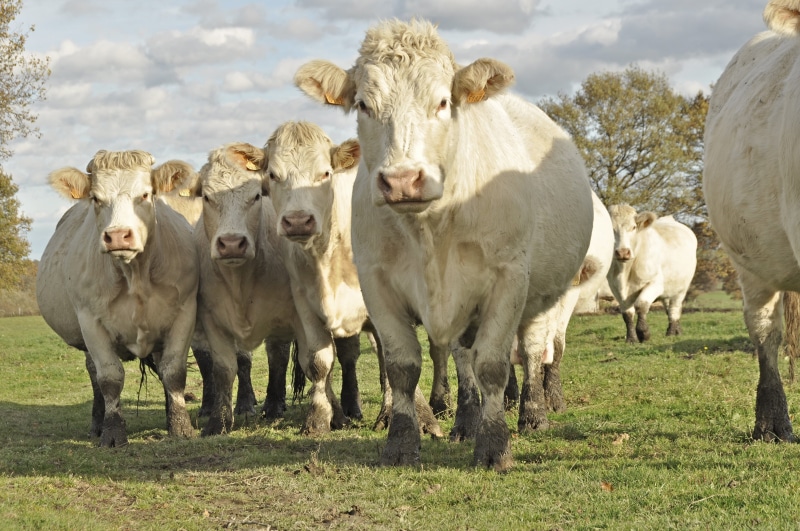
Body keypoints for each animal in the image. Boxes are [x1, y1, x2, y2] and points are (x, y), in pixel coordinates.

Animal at [36, 150, 198, 447]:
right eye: (96, 198)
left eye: (145, 194)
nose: (118, 236)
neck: (135, 276)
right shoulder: (90, 322)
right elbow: (110, 378)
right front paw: (112, 432)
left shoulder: (185, 312)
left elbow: (173, 371)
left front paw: (180, 426)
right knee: (94, 374)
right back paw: (97, 424)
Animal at [194, 142, 349, 436]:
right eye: (207, 197)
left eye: (255, 197)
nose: (231, 244)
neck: (240, 281)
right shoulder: (212, 321)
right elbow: (224, 369)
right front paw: (218, 422)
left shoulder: (298, 317)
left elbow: (313, 362)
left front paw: (331, 414)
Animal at [263, 120, 444, 435]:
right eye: (273, 174)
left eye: (325, 173)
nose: (298, 221)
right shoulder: (304, 306)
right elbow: (318, 362)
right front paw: (319, 419)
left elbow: (395, 358)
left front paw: (419, 417)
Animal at [295, 19, 595, 470]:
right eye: (364, 105)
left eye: (442, 102)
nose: (402, 180)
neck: (430, 231)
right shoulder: (377, 284)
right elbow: (402, 367)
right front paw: (402, 442)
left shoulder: (508, 280)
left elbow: (493, 366)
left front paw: (494, 446)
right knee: (463, 355)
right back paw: (466, 422)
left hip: (542, 296)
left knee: (530, 350)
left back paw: (533, 414)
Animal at [606, 204, 697, 344]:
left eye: (633, 227)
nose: (622, 252)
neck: (625, 272)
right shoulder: (616, 289)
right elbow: (627, 313)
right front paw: (631, 338)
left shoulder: (655, 283)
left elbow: (641, 305)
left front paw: (643, 333)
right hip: (668, 289)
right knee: (668, 308)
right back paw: (677, 330)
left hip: (681, 288)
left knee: (674, 309)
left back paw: (671, 332)